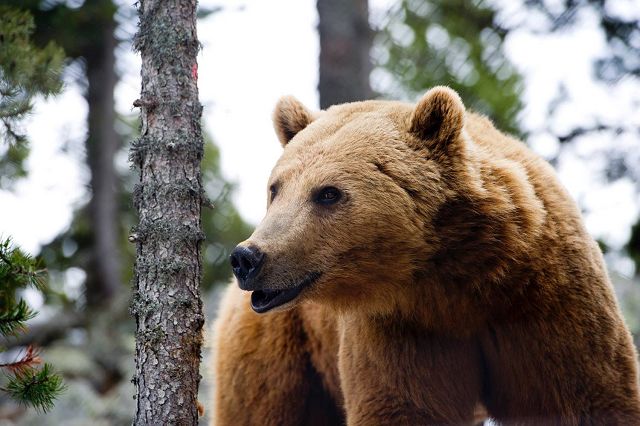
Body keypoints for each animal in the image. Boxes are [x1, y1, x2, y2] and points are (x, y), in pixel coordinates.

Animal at [211, 87, 640, 426]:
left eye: (328, 193)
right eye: (275, 188)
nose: (248, 257)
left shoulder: (546, 300)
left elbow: (590, 393)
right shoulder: (402, 331)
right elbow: (403, 407)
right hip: (279, 350)